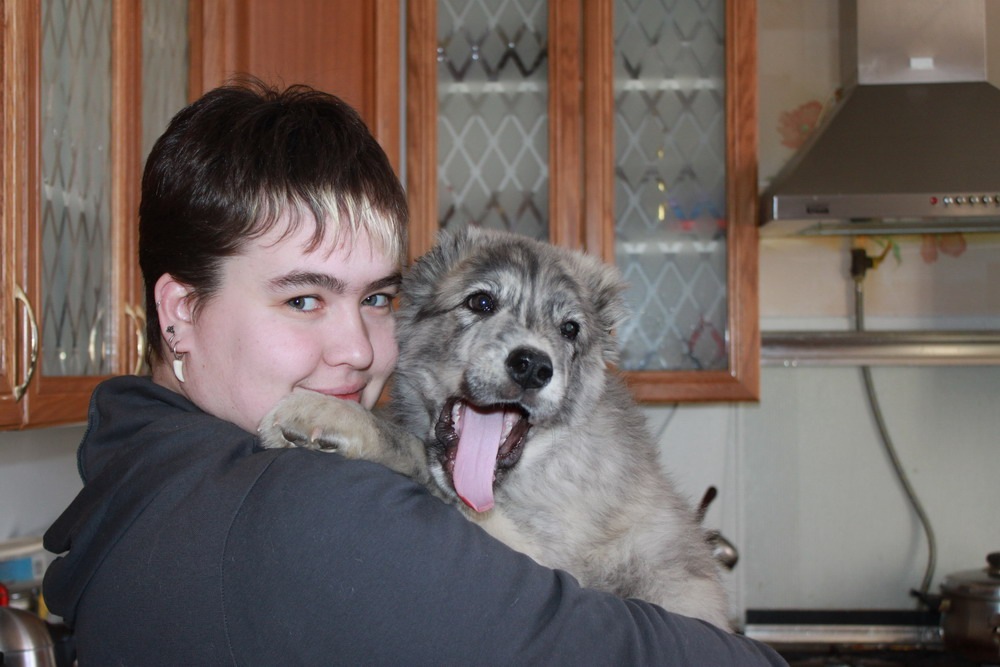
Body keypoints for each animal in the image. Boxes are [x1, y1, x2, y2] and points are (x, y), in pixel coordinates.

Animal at [259, 227, 731, 629]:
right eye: (481, 302)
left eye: (570, 329)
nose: (533, 366)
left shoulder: (546, 553)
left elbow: (410, 447)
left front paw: (325, 412)